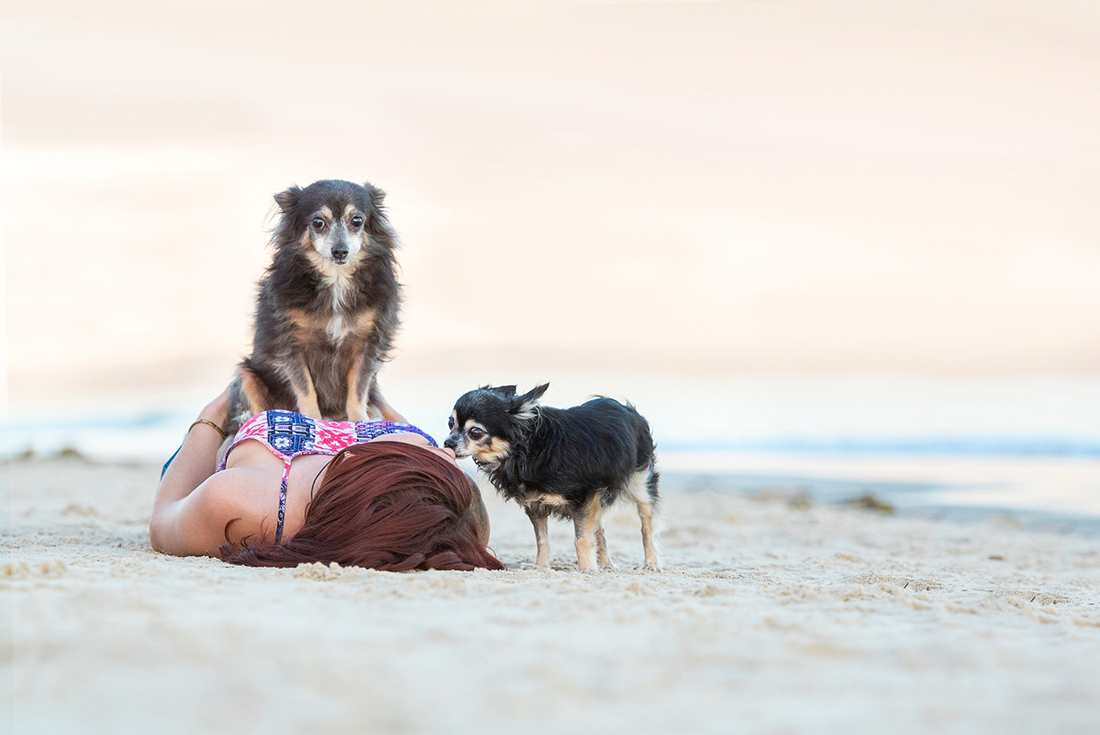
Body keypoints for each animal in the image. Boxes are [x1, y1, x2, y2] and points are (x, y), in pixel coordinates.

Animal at [227, 178, 404, 431]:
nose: (340, 251)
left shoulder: (367, 344)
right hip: (247, 374)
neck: (336, 280)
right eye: (318, 222)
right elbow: (306, 389)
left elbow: (358, 391)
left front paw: (359, 422)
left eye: (357, 221)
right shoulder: (291, 346)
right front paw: (313, 421)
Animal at [440, 385, 660, 572]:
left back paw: (651, 563)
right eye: (450, 423)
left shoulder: (586, 496)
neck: (527, 451)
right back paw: (605, 563)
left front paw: (587, 569)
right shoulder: (536, 505)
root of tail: (628, 409)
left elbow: (581, 538)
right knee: (600, 529)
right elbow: (542, 541)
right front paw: (540, 567)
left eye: (475, 432)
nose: (448, 442)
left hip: (640, 484)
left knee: (646, 526)